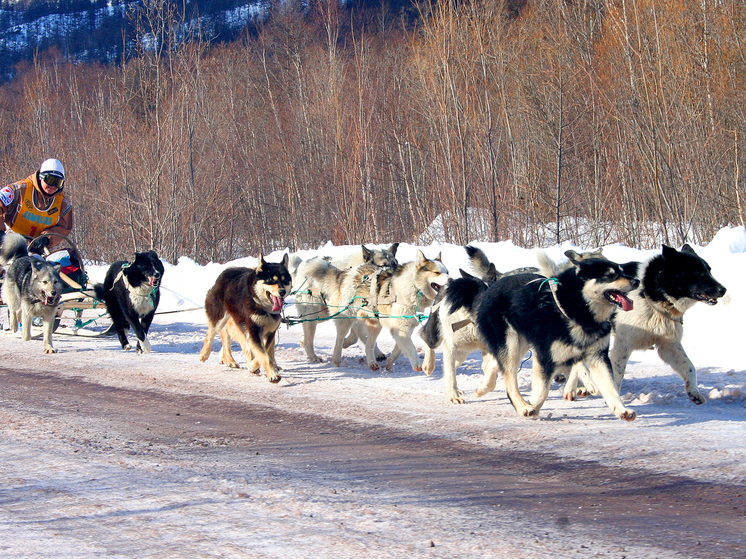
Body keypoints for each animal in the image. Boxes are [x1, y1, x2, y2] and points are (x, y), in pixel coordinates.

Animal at [474, 252, 636, 422]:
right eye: (610, 275)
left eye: (622, 271)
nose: (636, 281)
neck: (576, 311)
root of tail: (494, 285)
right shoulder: (545, 357)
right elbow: (542, 391)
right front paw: (533, 406)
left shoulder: (598, 357)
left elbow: (611, 388)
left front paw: (622, 410)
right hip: (511, 344)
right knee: (509, 379)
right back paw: (522, 406)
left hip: (519, 343)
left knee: (496, 363)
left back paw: (484, 387)